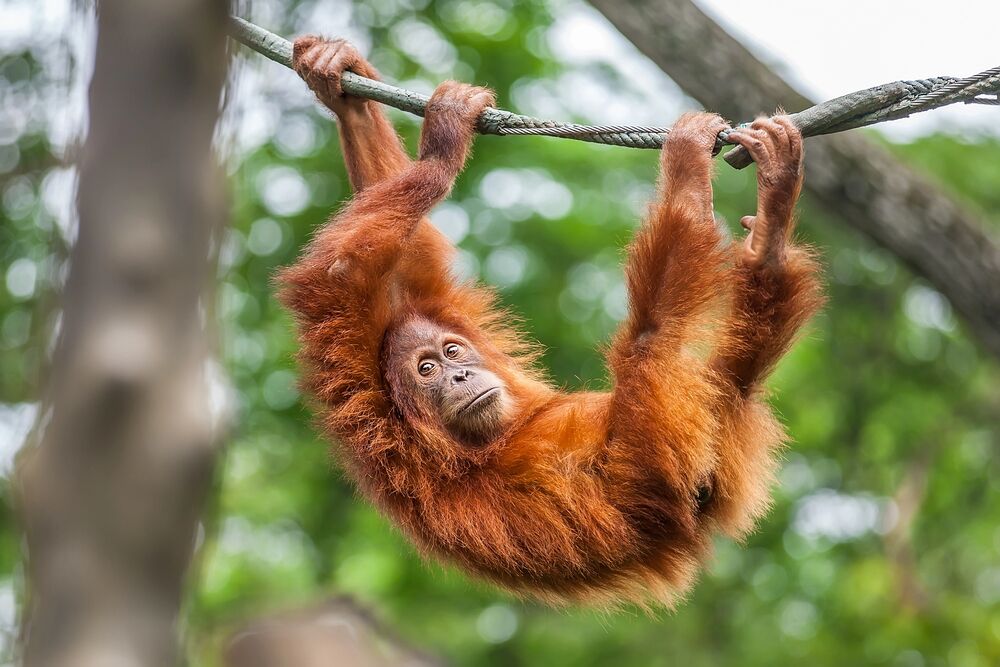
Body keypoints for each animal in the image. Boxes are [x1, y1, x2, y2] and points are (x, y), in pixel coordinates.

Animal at [279, 37, 824, 606]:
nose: (459, 375)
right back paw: (690, 172)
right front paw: (443, 144)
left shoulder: (423, 310)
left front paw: (340, 85)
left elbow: (407, 265)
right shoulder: (370, 411)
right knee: (653, 338)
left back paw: (771, 223)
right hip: (663, 439)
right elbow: (340, 273)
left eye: (452, 352)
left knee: (734, 378)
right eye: (426, 370)